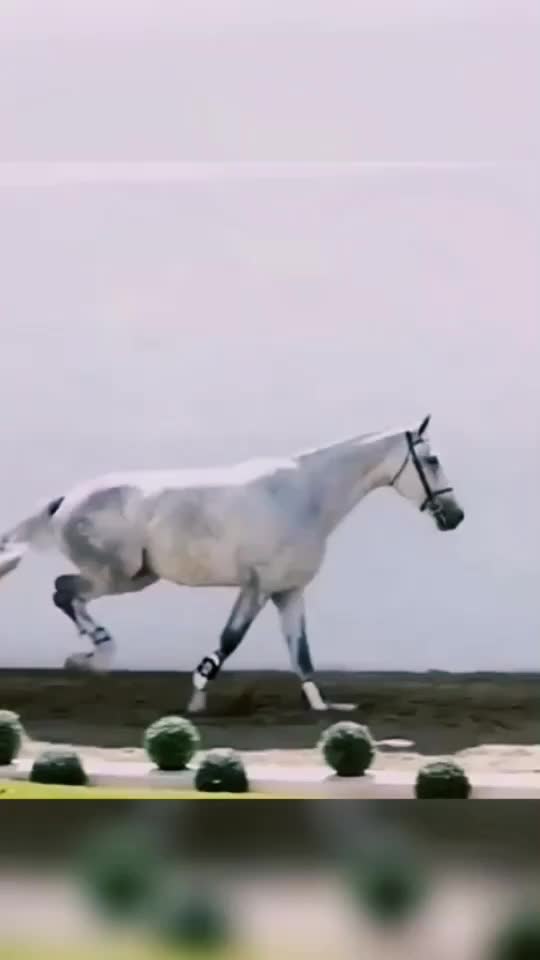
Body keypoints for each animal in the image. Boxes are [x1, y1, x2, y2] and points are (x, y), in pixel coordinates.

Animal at [0, 414, 464, 713]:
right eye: (432, 460)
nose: (455, 516)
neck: (303, 497)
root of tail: (67, 499)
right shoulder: (256, 587)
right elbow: (230, 640)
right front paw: (197, 698)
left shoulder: (288, 591)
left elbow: (301, 654)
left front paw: (323, 706)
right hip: (118, 575)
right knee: (64, 591)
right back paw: (94, 657)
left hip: (135, 577)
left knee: (66, 592)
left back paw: (91, 657)